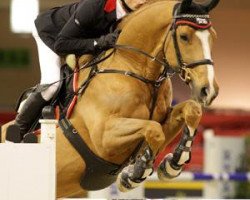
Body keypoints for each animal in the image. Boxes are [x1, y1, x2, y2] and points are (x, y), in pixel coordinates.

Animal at [0, 0, 219, 198]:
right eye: (184, 37)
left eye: (213, 37)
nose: (208, 90)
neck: (133, 68)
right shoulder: (104, 138)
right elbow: (154, 131)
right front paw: (136, 174)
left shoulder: (162, 119)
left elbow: (190, 111)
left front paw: (172, 164)